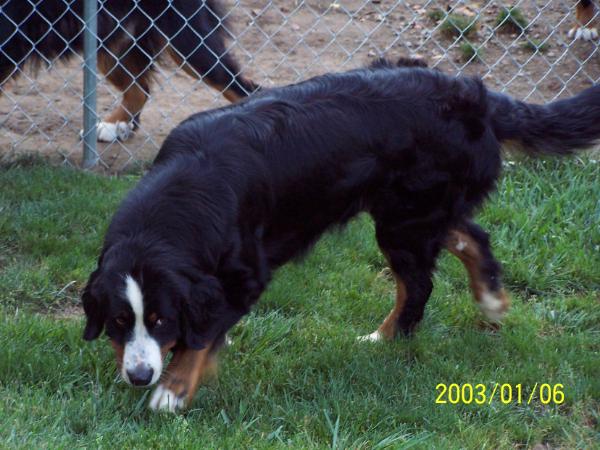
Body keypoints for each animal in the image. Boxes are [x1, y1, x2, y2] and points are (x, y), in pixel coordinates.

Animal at [81, 58, 600, 414]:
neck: (183, 196)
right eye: (120, 321)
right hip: (412, 211)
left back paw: (390, 335)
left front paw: (172, 391)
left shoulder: (244, 279)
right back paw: (485, 300)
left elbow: (199, 339)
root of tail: (475, 94)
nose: (140, 376)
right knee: (469, 237)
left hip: (404, 221)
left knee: (419, 283)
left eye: (163, 319)